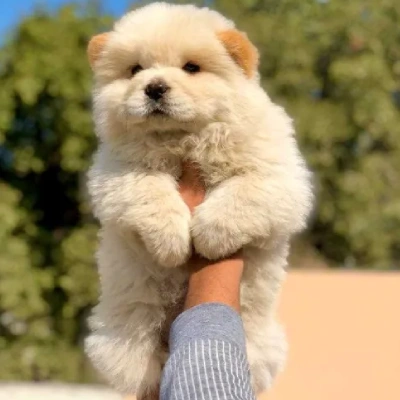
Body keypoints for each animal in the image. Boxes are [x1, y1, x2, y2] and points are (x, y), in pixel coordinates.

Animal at [86, 2, 314, 396]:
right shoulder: (116, 173)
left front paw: (208, 238)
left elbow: (238, 195)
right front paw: (174, 244)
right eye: (135, 70)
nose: (154, 87)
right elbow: (152, 192)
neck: (182, 139)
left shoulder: (279, 176)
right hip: (128, 336)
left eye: (191, 68)